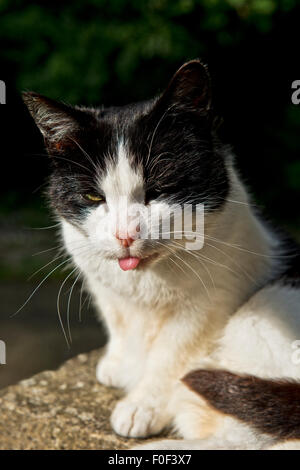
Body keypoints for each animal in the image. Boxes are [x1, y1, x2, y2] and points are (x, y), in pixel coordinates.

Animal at [23, 60, 300, 450]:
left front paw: (142, 406)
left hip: (262, 311)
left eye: (159, 189)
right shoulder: (103, 287)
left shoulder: (205, 307)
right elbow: (117, 322)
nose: (125, 234)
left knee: (244, 436)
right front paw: (118, 364)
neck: (144, 284)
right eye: (93, 197)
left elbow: (170, 357)